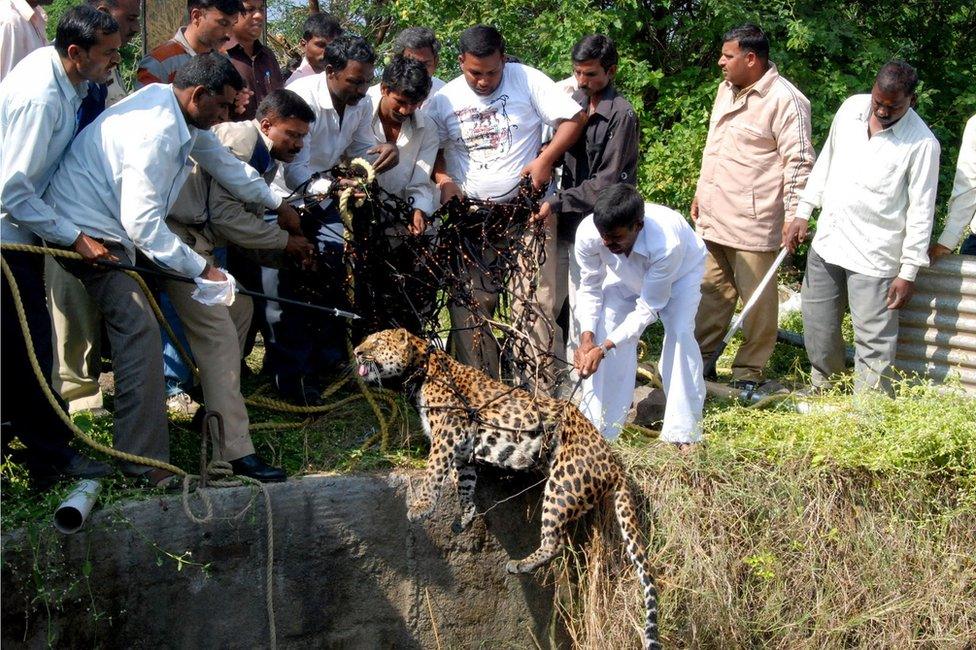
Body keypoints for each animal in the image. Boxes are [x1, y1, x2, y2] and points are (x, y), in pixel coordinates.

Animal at [354, 330, 660, 648]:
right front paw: (464, 516)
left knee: (555, 542)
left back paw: (520, 564)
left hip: (561, 485)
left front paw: (422, 506)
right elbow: (464, 481)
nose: (356, 351)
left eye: (376, 343)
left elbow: (434, 469)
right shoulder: (463, 448)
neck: (422, 368)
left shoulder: (447, 432)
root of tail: (614, 461)